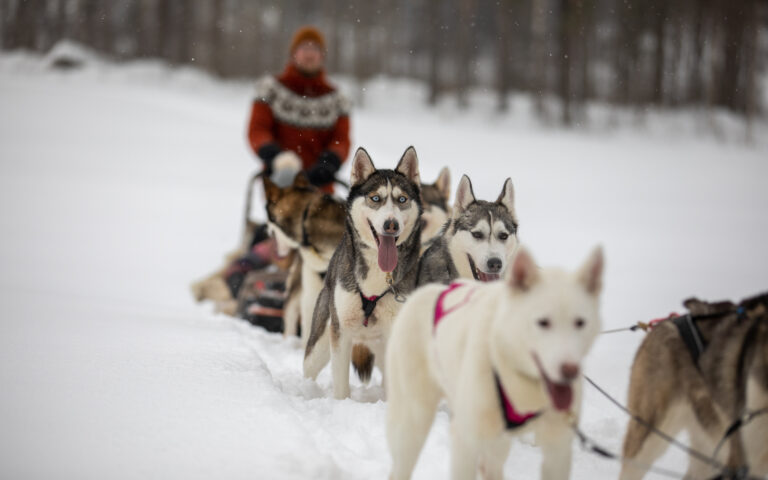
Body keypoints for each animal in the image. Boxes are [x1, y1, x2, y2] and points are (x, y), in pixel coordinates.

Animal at [304, 145, 424, 398]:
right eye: (375, 198)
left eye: (402, 199)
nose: (391, 225)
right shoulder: (341, 333)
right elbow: (341, 385)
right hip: (319, 343)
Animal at [388, 248, 604, 480]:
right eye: (543, 322)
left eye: (580, 322)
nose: (570, 369)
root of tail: (425, 293)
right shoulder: (466, 442)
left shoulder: (558, 449)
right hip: (415, 419)